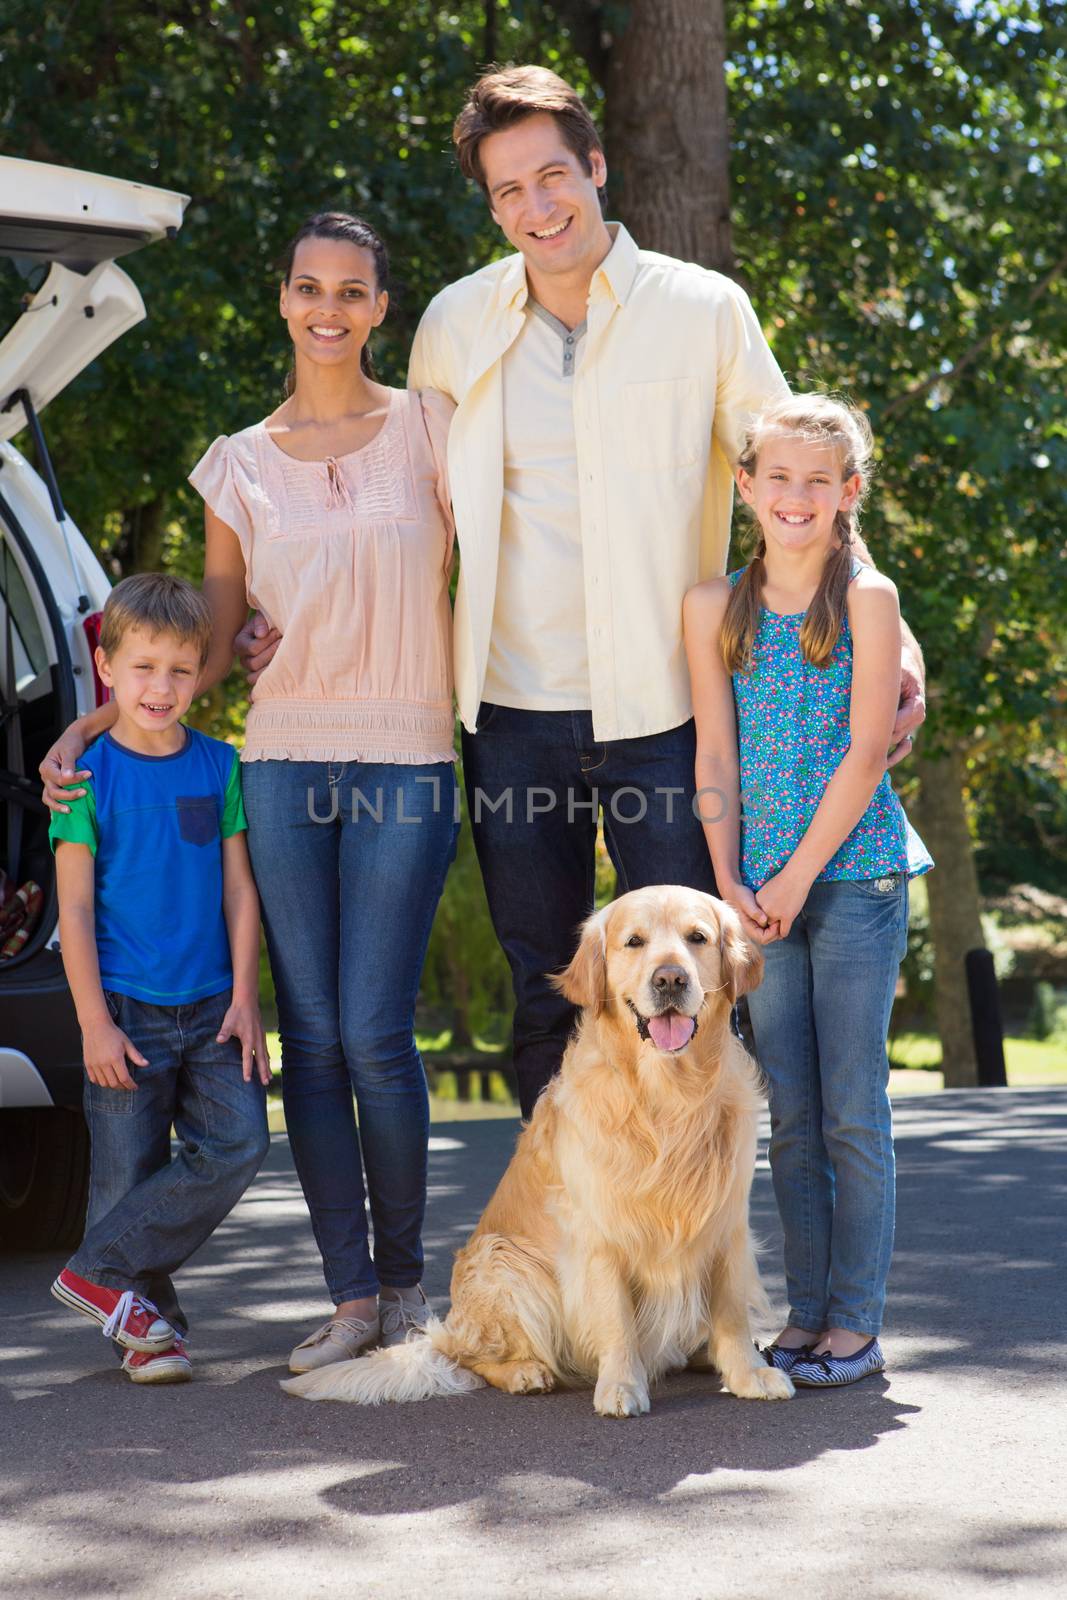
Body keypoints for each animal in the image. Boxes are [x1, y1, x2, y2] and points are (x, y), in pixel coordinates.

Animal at [283, 883, 793, 1420]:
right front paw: (620, 1385)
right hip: (505, 1262)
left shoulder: (725, 1222)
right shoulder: (598, 1233)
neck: (668, 1098)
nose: (670, 978)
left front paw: (748, 1375)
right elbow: (615, 1316)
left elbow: (731, 1312)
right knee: (470, 1357)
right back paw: (525, 1372)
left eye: (697, 938)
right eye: (634, 942)